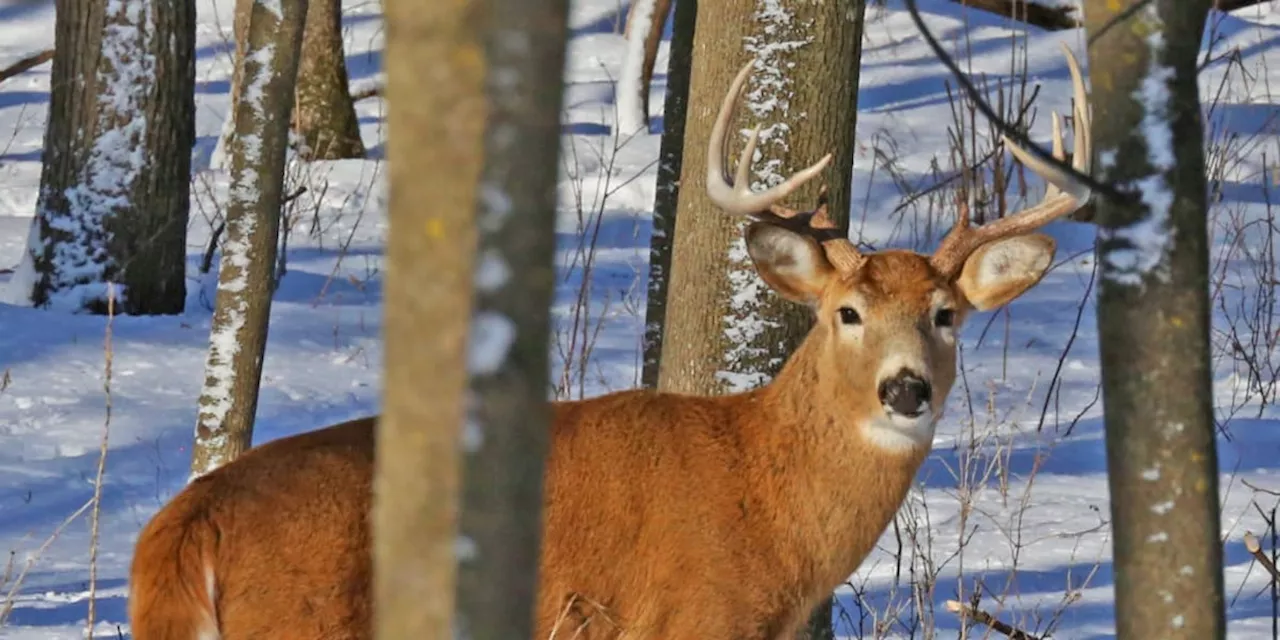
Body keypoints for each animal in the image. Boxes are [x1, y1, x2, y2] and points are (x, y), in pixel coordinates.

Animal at [127, 45, 1090, 640]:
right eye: (846, 312)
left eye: (946, 314)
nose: (905, 389)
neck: (766, 493)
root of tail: (183, 526)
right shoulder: (696, 617)